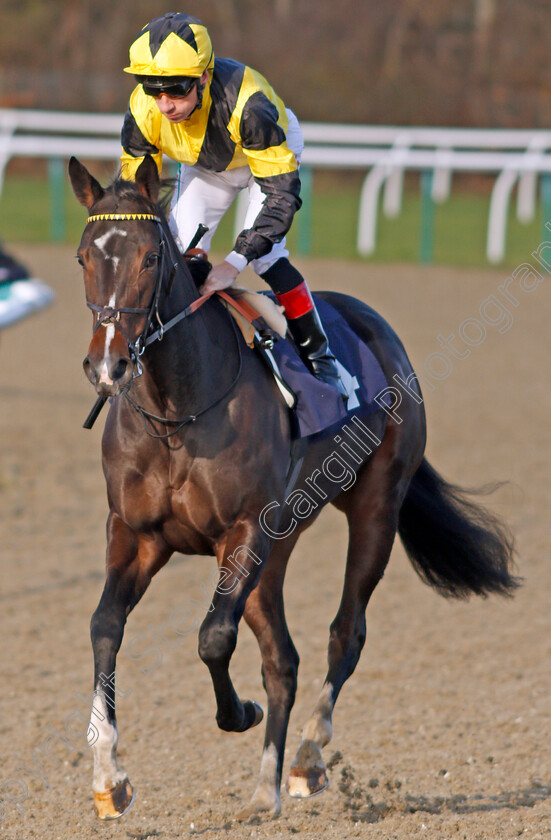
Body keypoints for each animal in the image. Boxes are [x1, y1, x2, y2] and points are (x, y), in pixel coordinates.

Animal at [68, 156, 516, 820]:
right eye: (82, 258)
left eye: (150, 258)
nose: (108, 366)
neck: (177, 411)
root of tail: (376, 326)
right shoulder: (135, 532)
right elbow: (105, 627)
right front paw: (109, 777)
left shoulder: (244, 531)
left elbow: (213, 638)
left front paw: (238, 713)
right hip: (278, 545)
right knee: (283, 657)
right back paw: (265, 787)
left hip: (372, 511)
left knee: (344, 634)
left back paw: (304, 759)